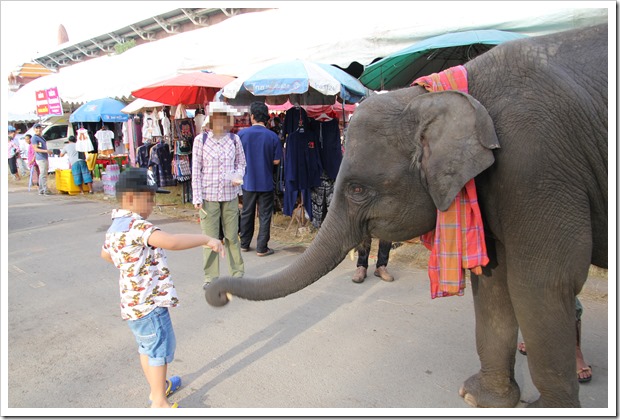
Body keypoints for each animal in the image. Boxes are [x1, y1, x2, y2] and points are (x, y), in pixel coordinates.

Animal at [206, 23, 608, 406]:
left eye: (357, 190)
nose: (216, 295)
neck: (432, 96)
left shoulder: (538, 166)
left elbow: (544, 282)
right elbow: (493, 278)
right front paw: (479, 398)